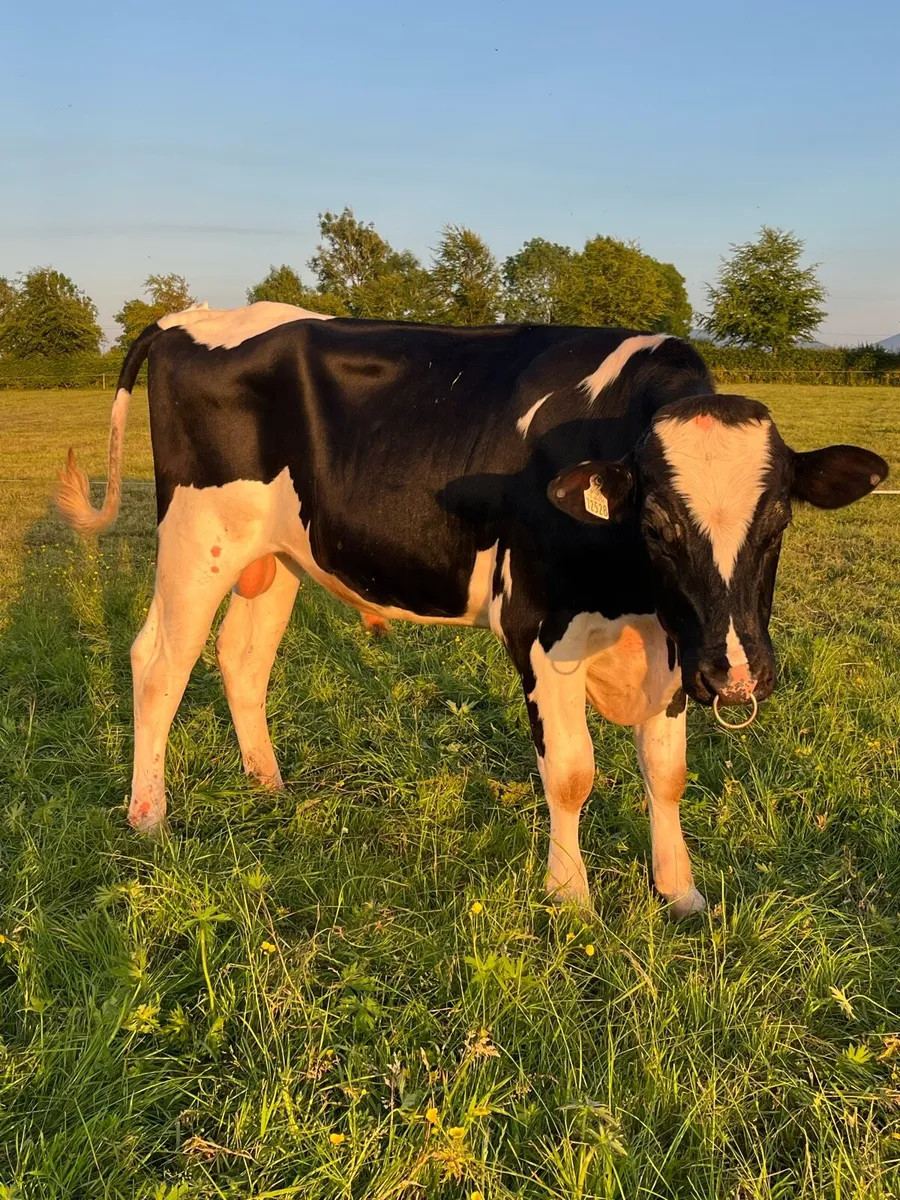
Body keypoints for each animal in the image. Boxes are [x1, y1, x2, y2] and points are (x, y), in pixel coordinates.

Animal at [56, 302, 888, 917]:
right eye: (657, 524)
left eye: (779, 519)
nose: (740, 674)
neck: (636, 599)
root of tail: (188, 316)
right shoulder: (539, 630)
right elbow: (572, 774)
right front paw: (571, 899)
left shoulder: (678, 644)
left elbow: (667, 770)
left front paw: (680, 892)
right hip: (197, 541)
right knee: (159, 663)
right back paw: (149, 817)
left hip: (276, 556)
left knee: (242, 659)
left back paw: (270, 786)